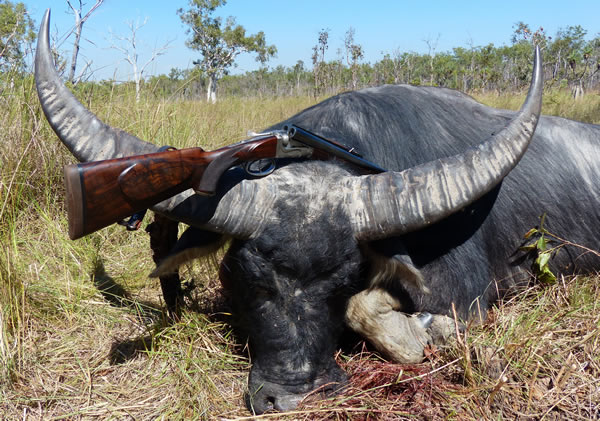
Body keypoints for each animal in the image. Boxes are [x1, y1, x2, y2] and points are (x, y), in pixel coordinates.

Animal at [36, 9, 600, 414]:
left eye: (344, 279)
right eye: (244, 278)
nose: (294, 397)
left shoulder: (465, 294)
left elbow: (371, 310)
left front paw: (421, 328)